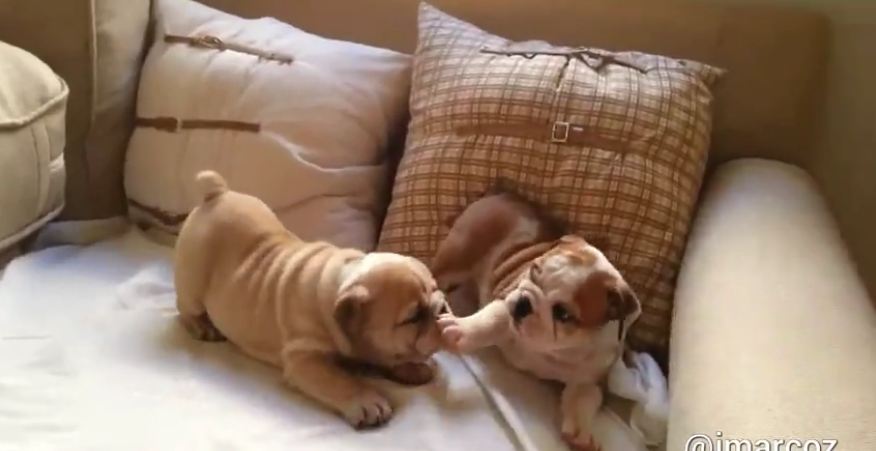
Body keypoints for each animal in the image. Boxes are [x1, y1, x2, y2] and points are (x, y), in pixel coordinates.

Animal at [173, 171, 444, 430]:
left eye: (436, 289)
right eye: (413, 317)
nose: (441, 308)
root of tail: (217, 194)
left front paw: (411, 368)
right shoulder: (305, 359)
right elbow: (339, 380)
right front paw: (366, 400)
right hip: (192, 281)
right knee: (185, 308)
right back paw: (202, 325)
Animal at [434, 195, 640, 451]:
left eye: (563, 314)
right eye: (533, 270)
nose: (524, 303)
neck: (555, 349)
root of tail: (500, 195)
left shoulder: (591, 377)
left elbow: (583, 399)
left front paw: (580, 433)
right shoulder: (505, 302)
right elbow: (490, 320)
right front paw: (459, 330)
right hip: (460, 252)